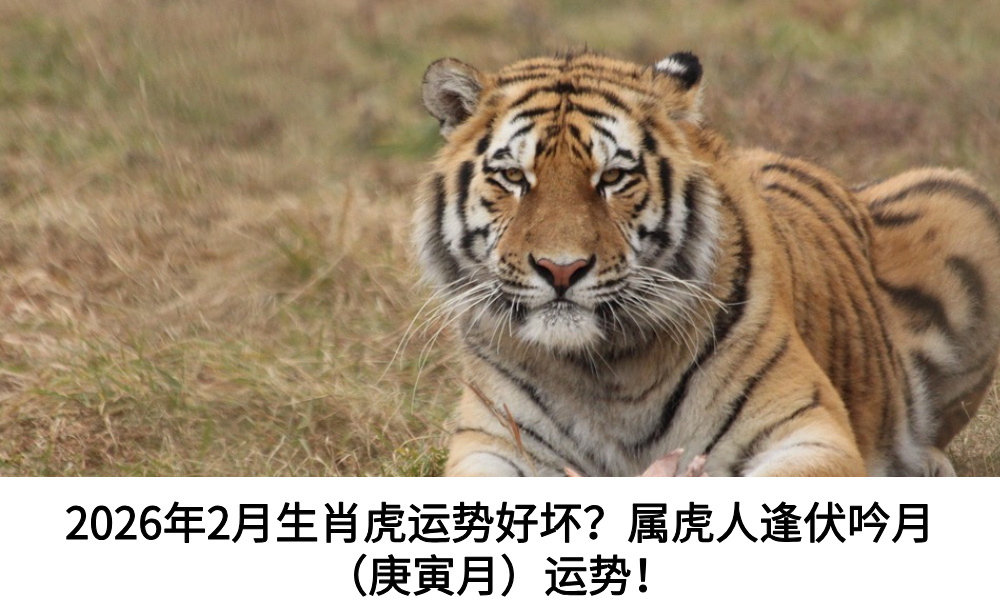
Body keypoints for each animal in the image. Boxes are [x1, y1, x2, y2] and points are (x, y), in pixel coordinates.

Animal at [412, 50, 1000, 477]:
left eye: (613, 178)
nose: (561, 269)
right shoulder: (490, 443)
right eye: (514, 177)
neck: (602, 372)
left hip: (966, 205)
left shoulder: (808, 428)